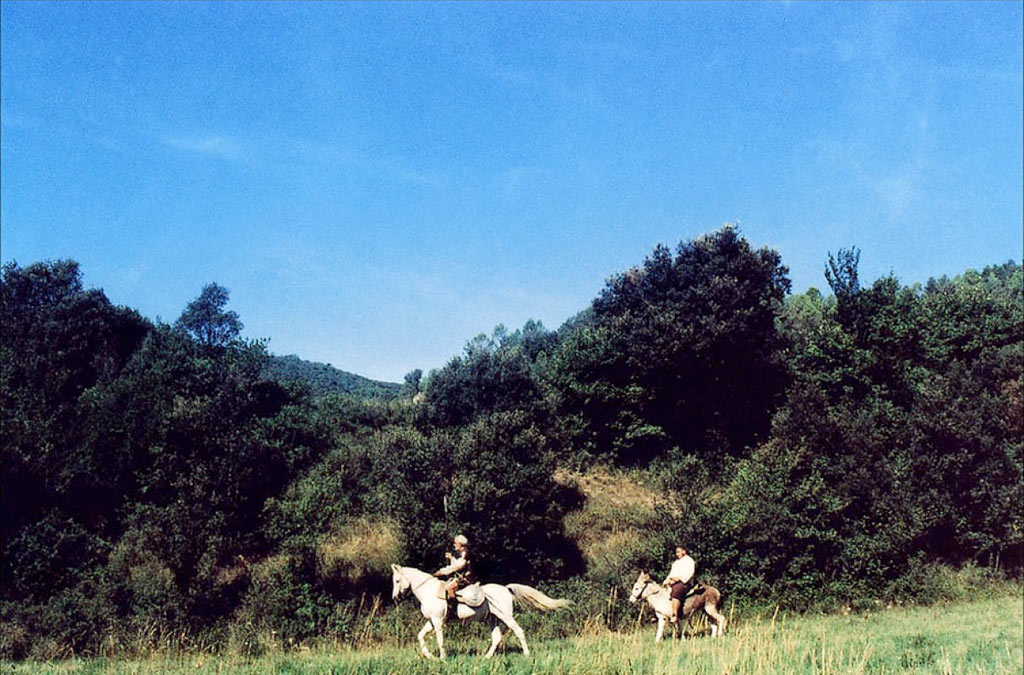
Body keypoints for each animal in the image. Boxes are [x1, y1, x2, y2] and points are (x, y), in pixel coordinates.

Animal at [389, 565, 573, 659]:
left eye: (397, 580)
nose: (395, 598)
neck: (429, 591)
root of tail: (506, 589)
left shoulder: (438, 622)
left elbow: (440, 641)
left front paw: (442, 658)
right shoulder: (431, 622)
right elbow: (420, 636)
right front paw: (429, 656)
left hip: (506, 616)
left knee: (519, 631)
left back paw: (527, 654)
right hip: (493, 619)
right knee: (497, 638)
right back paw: (486, 657)